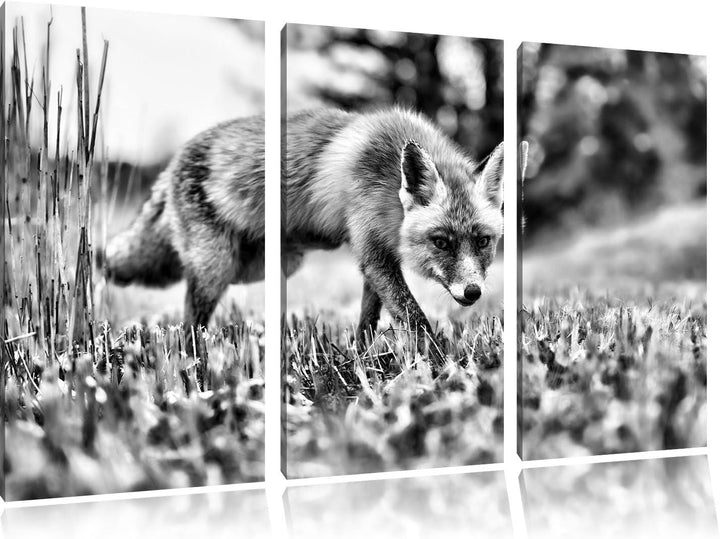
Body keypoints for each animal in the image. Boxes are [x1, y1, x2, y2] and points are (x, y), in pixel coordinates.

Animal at [102, 107, 505, 358]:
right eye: (441, 242)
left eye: (484, 241)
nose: (473, 292)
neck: (388, 180)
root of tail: (173, 160)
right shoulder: (373, 251)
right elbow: (414, 318)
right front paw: (440, 364)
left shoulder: (374, 257)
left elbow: (368, 321)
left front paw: (360, 360)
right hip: (218, 268)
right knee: (188, 324)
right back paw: (194, 361)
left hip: (265, 266)